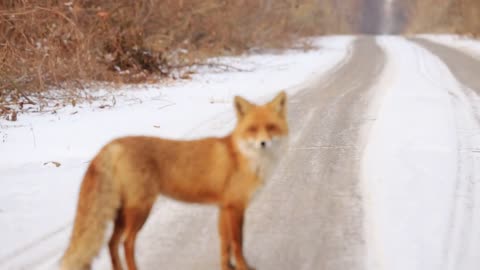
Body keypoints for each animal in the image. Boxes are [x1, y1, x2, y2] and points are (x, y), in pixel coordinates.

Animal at [61, 91, 288, 270]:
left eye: (271, 127)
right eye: (252, 129)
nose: (263, 143)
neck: (244, 158)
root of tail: (114, 143)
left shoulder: (224, 207)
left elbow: (225, 244)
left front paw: (228, 267)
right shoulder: (235, 207)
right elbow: (237, 242)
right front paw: (242, 267)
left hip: (123, 212)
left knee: (111, 243)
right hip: (140, 210)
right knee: (127, 243)